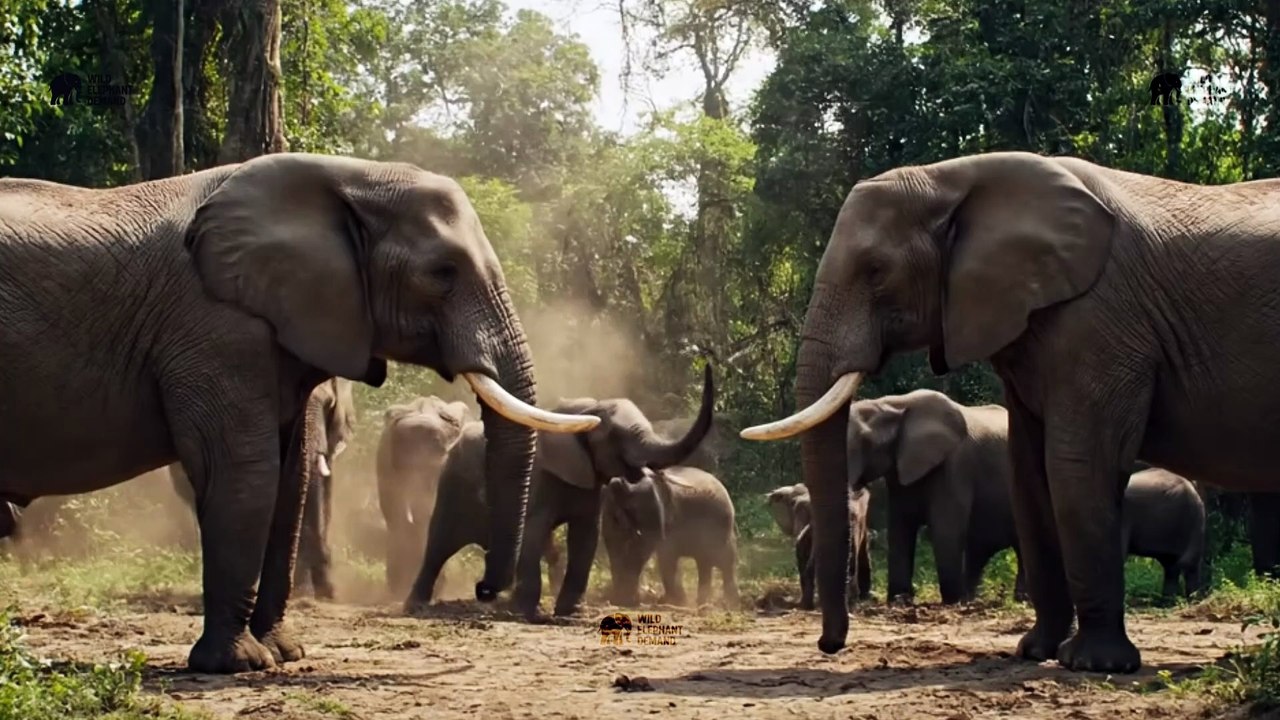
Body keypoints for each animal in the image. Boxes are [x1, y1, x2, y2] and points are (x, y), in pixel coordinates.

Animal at [508, 365, 717, 619]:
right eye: (616, 437)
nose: (707, 365)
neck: (582, 412)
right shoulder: (539, 475)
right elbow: (535, 527)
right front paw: (526, 612)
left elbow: (586, 534)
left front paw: (572, 613)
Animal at [600, 466, 739, 609]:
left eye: (630, 508)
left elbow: (653, 552)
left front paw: (674, 602)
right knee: (705, 562)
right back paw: (702, 603)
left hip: (722, 527)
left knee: (725, 560)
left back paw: (730, 604)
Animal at [844, 390, 1026, 605]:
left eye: (865, 442)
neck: (893, 405)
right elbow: (900, 527)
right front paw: (900, 599)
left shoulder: (955, 466)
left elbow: (945, 530)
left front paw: (951, 601)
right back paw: (971, 599)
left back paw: (1019, 600)